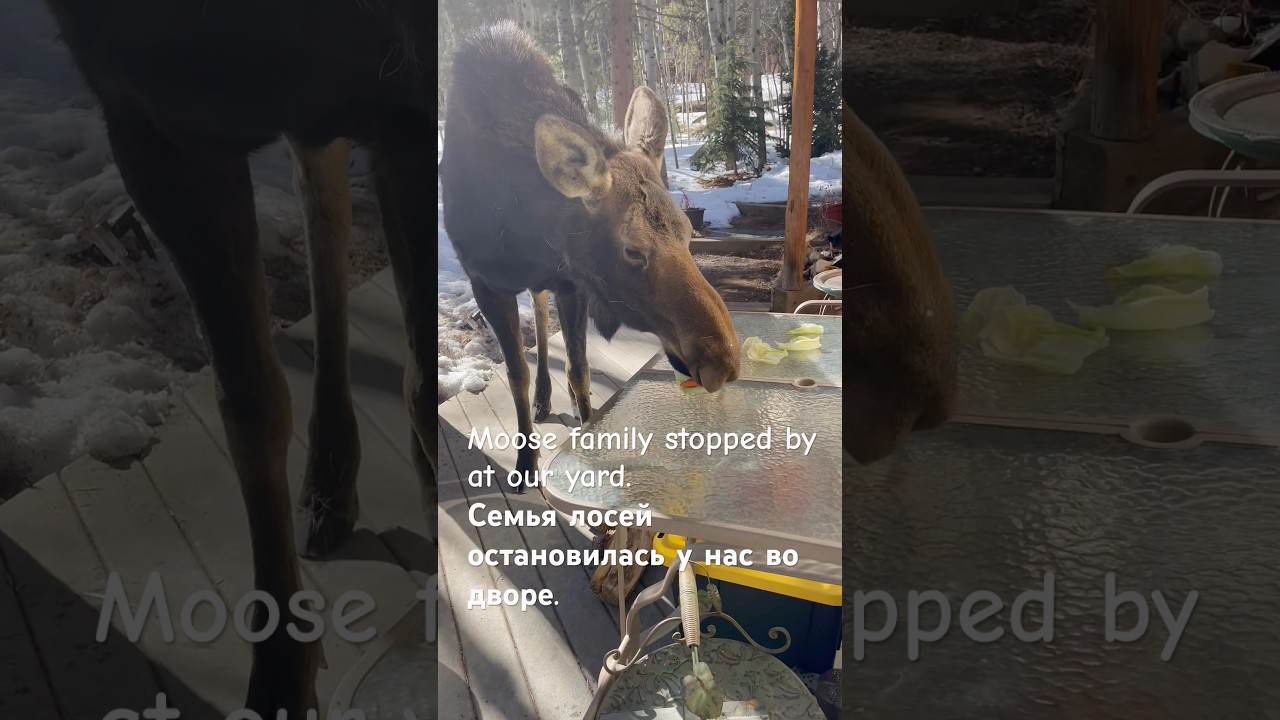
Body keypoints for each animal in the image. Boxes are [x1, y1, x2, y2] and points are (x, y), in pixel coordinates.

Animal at [42, 0, 435, 714]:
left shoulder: (410, 100)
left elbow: (422, 384)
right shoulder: (153, 113)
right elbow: (249, 408)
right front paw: (278, 677)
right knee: (324, 209)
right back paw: (328, 483)